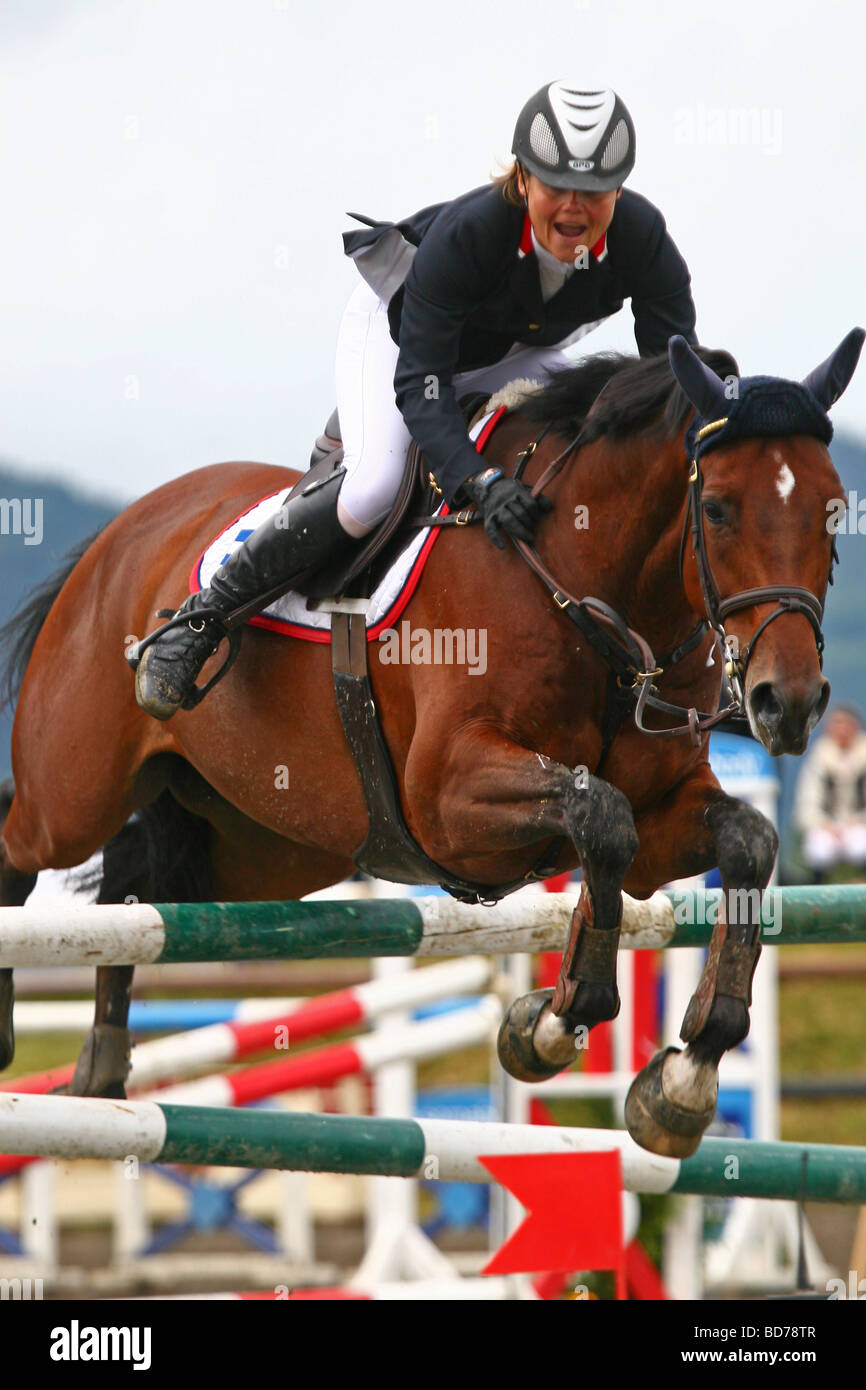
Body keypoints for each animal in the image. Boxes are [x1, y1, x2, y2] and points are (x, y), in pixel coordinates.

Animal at [0, 330, 861, 1158]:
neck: (592, 593)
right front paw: (556, 1023)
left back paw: (102, 1067)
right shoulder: (448, 801)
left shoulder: (658, 821)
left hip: (259, 846)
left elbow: (741, 841)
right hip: (72, 794)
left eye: (833, 509)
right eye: (716, 508)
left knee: (132, 884)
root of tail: (124, 530)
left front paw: (682, 1080)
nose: (788, 702)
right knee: (22, 848)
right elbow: (601, 816)